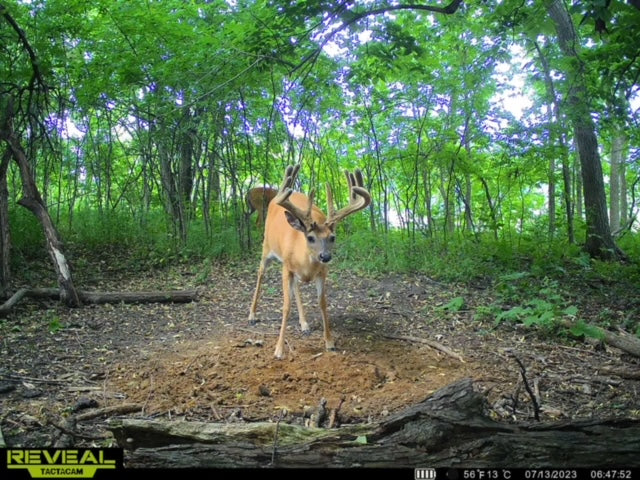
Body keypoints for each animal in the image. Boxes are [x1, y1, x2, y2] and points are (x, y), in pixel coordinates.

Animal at [248, 164, 371, 359]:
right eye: (311, 237)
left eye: (332, 237)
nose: (325, 256)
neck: (305, 264)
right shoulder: (286, 267)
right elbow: (286, 306)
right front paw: (278, 350)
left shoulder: (322, 272)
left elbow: (322, 303)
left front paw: (329, 342)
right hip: (266, 247)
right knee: (260, 274)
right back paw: (252, 315)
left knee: (296, 287)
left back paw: (304, 323)